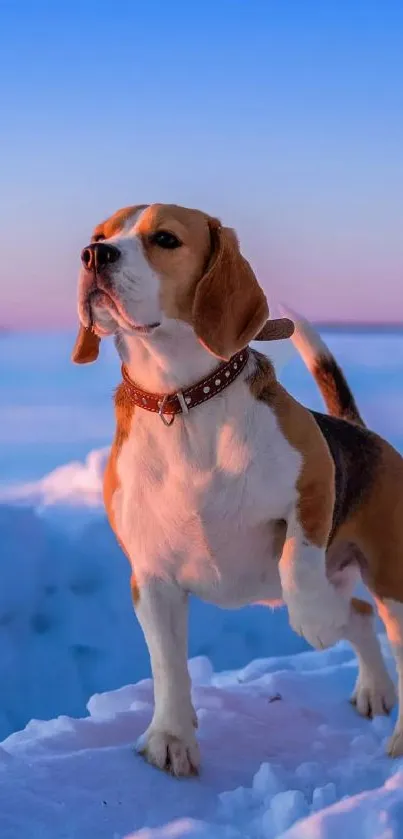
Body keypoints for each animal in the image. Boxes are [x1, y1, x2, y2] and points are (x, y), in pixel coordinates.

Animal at [72, 205, 403, 780]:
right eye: (100, 235)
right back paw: (374, 689)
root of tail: (358, 428)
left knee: (369, 617)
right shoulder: (151, 575)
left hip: (391, 577)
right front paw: (171, 737)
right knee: (360, 617)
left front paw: (312, 618)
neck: (181, 401)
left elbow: (298, 556)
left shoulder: (313, 479)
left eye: (165, 239)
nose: (94, 256)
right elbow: (168, 663)